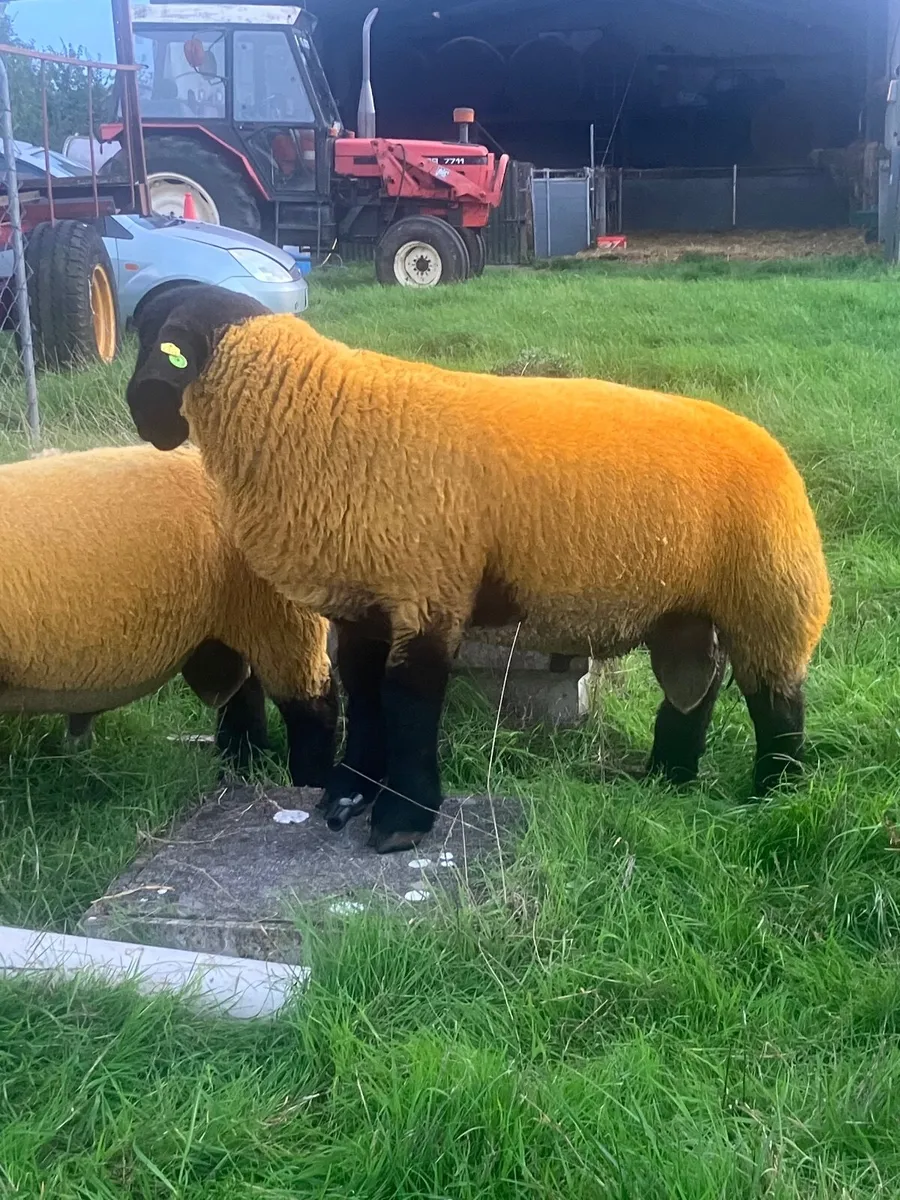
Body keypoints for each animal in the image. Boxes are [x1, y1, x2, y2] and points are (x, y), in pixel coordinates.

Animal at [0, 443, 337, 785]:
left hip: (284, 617)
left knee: (312, 706)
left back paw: (309, 779)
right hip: (238, 622)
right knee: (245, 695)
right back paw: (239, 764)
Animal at [125, 284, 831, 853]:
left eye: (157, 345)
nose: (141, 414)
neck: (318, 417)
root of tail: (773, 449)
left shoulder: (427, 591)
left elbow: (409, 703)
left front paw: (402, 822)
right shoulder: (364, 602)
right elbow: (365, 694)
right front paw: (348, 795)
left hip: (771, 595)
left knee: (776, 703)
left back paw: (774, 796)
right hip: (683, 612)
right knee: (694, 690)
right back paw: (667, 781)